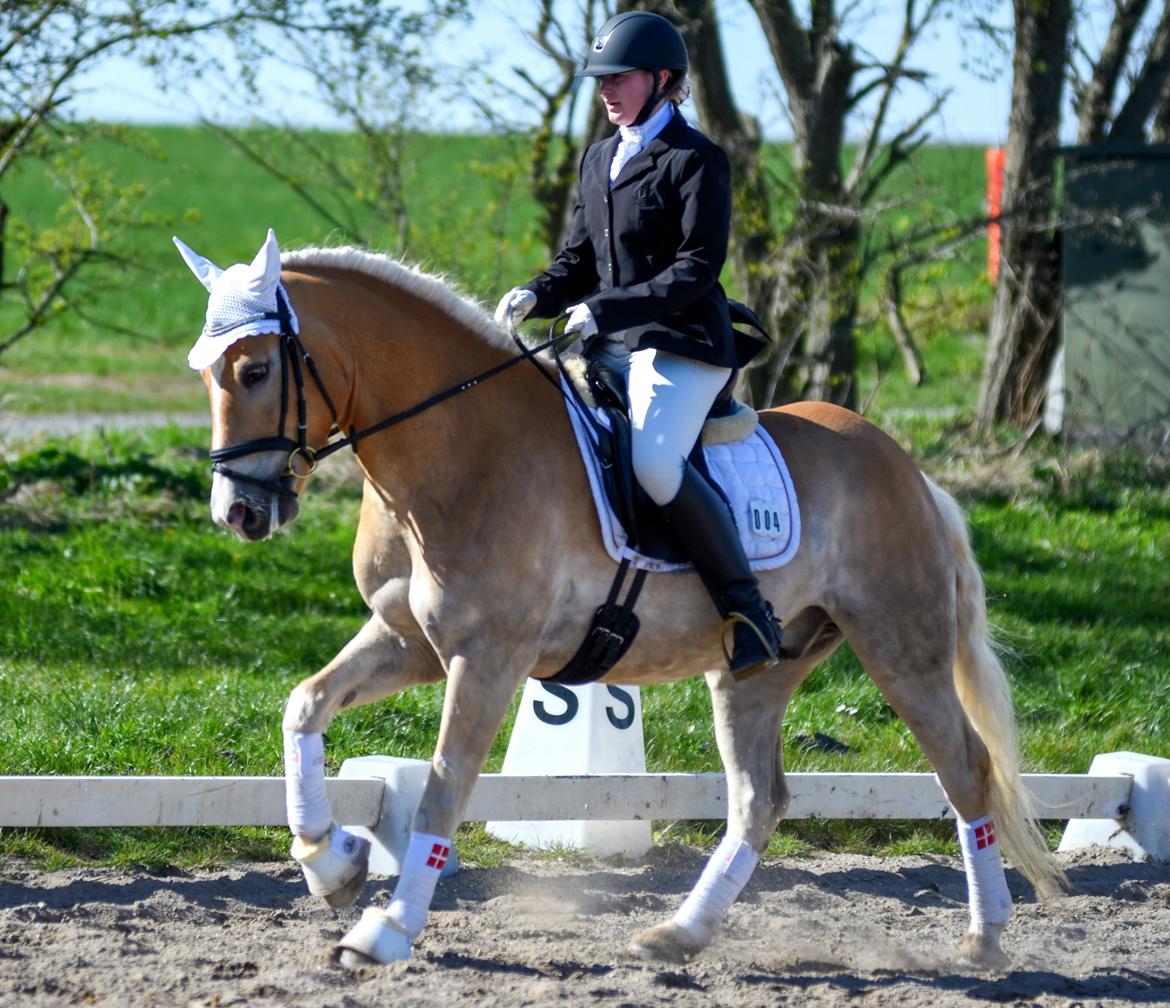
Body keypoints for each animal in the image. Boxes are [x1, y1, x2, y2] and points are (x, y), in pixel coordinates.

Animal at [180, 232, 1062, 972]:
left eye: (255, 372)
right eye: (206, 374)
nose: (238, 513)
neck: (455, 447)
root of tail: (906, 467)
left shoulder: (487, 658)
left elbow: (443, 786)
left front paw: (386, 930)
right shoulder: (410, 642)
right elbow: (304, 706)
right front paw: (331, 865)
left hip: (901, 647)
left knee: (966, 769)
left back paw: (985, 938)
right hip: (757, 669)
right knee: (759, 799)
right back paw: (680, 934)